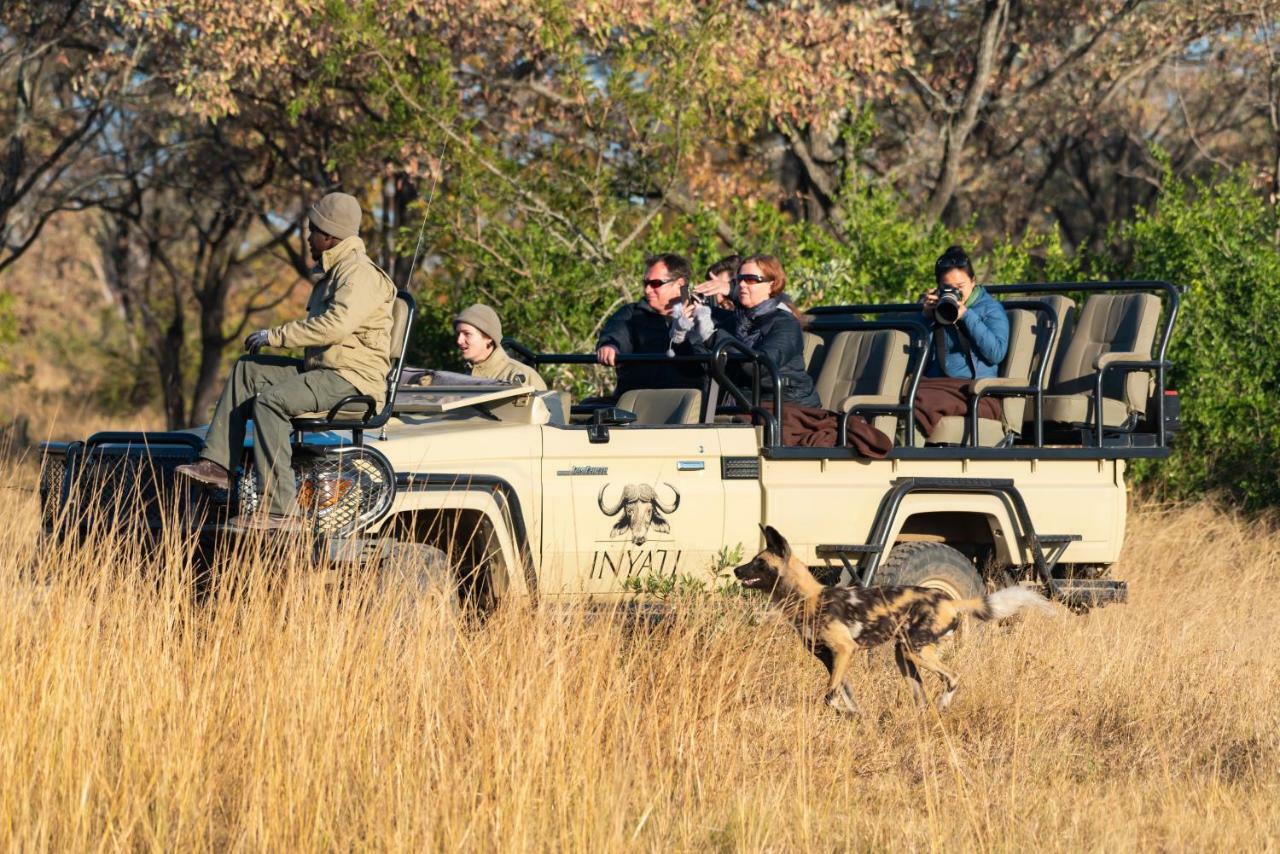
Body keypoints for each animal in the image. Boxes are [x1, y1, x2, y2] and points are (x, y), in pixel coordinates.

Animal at [737, 527, 1054, 717]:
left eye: (759, 562)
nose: (737, 569)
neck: (808, 598)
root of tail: (949, 601)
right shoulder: (832, 659)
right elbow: (842, 695)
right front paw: (856, 716)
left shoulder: (844, 650)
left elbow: (829, 697)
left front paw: (847, 715)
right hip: (904, 655)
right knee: (921, 696)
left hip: (918, 652)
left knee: (952, 677)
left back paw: (943, 706)